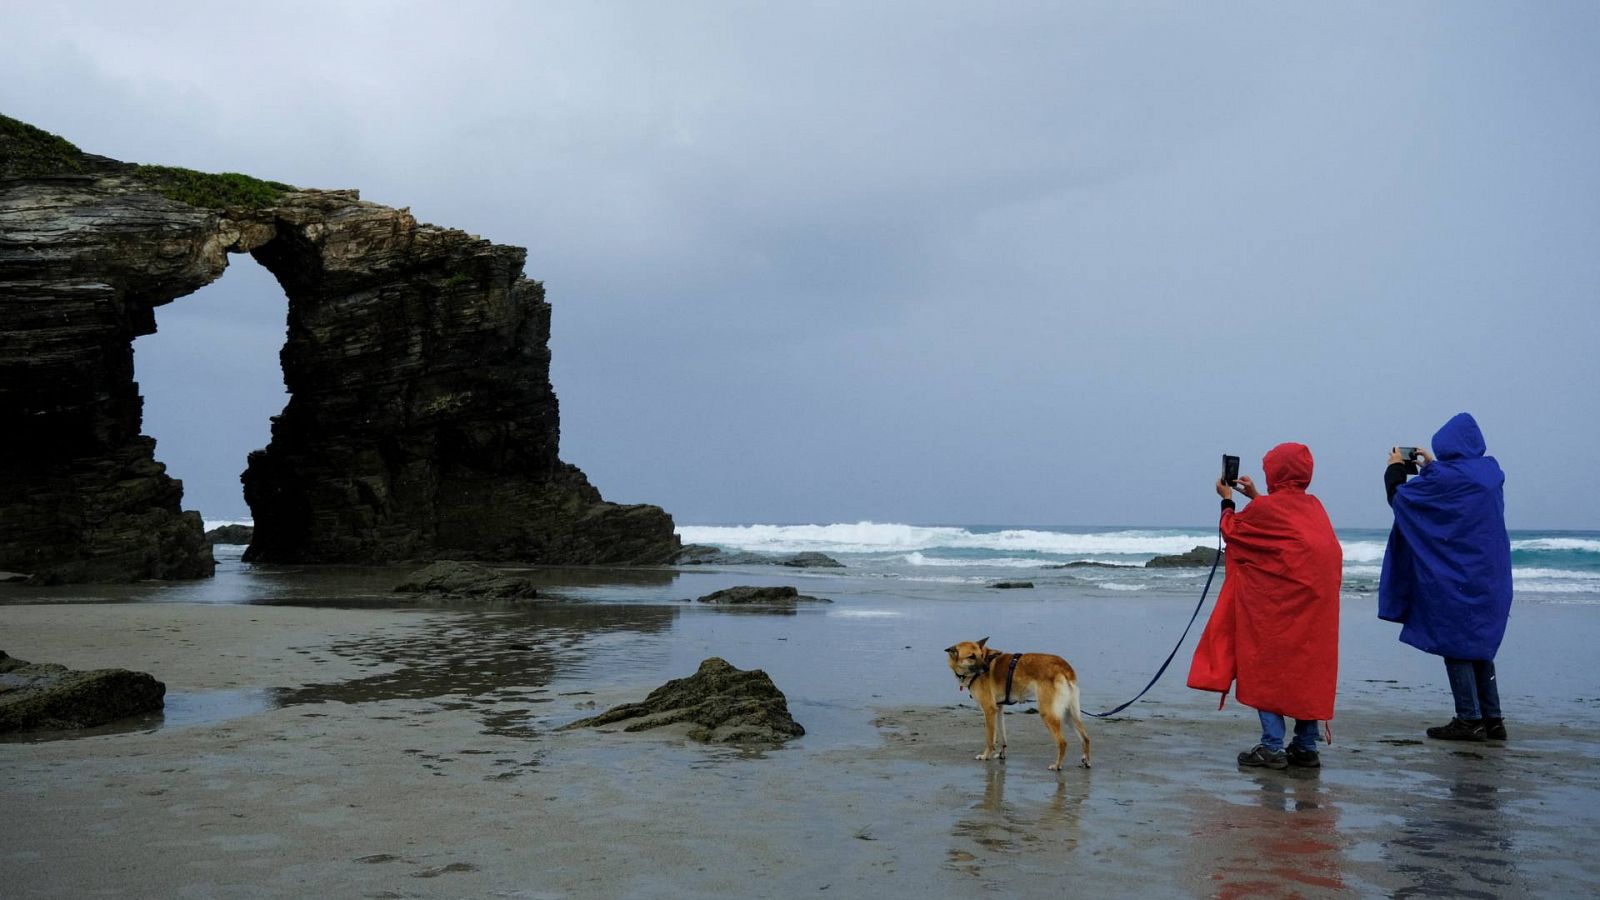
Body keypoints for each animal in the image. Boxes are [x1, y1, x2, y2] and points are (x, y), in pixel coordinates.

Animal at [940, 634, 1094, 768]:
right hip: (1069, 713)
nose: (986, 668)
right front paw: (1001, 754)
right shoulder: (998, 709)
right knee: (1086, 738)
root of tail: (1064, 667)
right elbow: (1002, 736)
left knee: (1063, 742)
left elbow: (990, 738)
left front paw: (985, 755)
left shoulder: (989, 710)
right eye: (971, 657)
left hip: (1048, 713)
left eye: (980, 655)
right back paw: (1086, 761)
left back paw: (1057, 765)